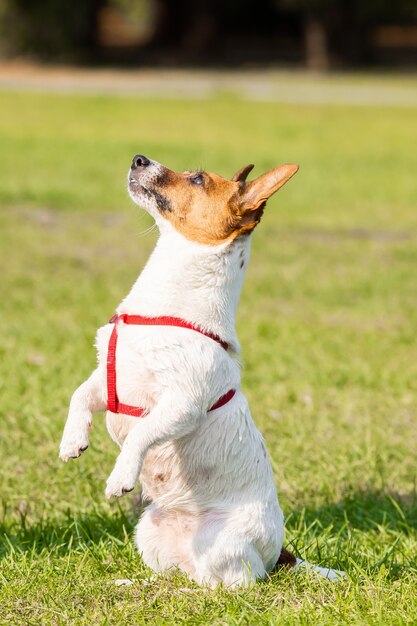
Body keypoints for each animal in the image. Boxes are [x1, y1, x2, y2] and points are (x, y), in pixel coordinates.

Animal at [59, 155, 344, 584]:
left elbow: (142, 432)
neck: (163, 307)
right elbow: (78, 396)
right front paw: (71, 441)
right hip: (149, 531)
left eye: (197, 179)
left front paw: (121, 476)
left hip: (223, 544)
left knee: (229, 587)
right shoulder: (109, 382)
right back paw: (137, 583)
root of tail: (279, 557)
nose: (138, 158)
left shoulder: (182, 404)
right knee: (176, 576)